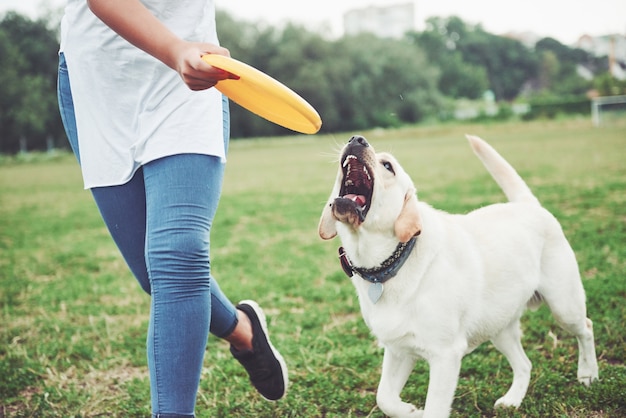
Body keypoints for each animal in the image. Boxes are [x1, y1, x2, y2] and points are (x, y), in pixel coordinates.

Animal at [320, 136, 596, 416]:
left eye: (388, 166)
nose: (357, 139)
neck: (386, 266)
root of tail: (527, 205)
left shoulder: (446, 355)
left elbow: (434, 408)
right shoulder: (399, 349)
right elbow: (384, 397)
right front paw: (411, 411)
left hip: (564, 306)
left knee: (586, 328)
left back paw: (588, 374)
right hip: (499, 327)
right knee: (524, 364)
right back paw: (512, 400)